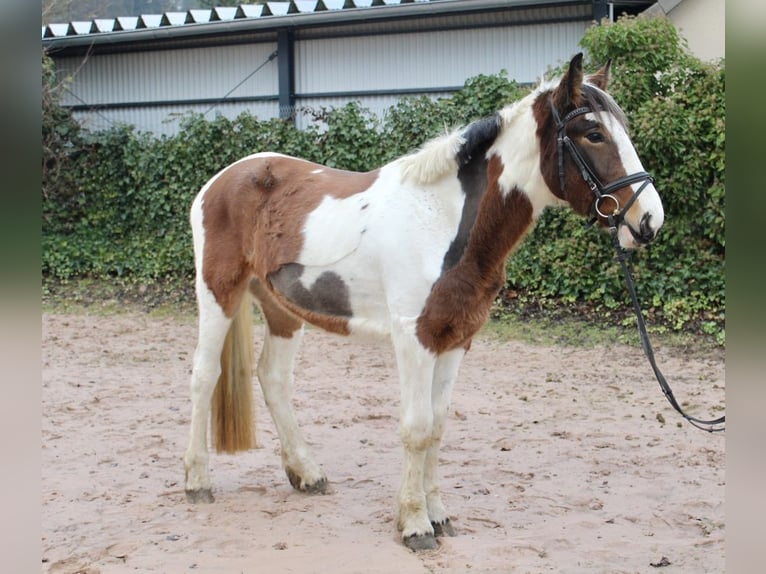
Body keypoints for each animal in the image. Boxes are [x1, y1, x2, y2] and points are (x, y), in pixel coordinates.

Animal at [183, 55, 664, 552]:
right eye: (594, 134)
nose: (649, 220)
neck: (442, 219)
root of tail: (220, 180)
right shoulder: (415, 339)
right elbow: (415, 428)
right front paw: (414, 523)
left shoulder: (454, 340)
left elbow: (436, 426)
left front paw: (438, 515)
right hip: (218, 292)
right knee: (204, 375)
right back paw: (198, 482)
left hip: (281, 308)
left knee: (273, 379)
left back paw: (307, 473)